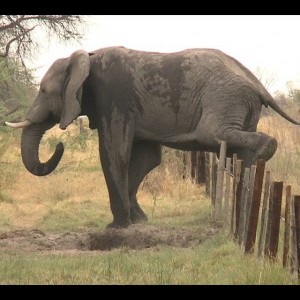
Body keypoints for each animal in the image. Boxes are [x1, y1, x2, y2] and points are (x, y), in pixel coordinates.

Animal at [4, 46, 300, 227]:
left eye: (43, 91)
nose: (60, 144)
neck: (85, 57)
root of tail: (256, 84)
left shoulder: (113, 96)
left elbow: (114, 153)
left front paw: (117, 226)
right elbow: (146, 159)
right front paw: (139, 221)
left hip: (224, 97)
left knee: (213, 134)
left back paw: (265, 149)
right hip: (240, 103)